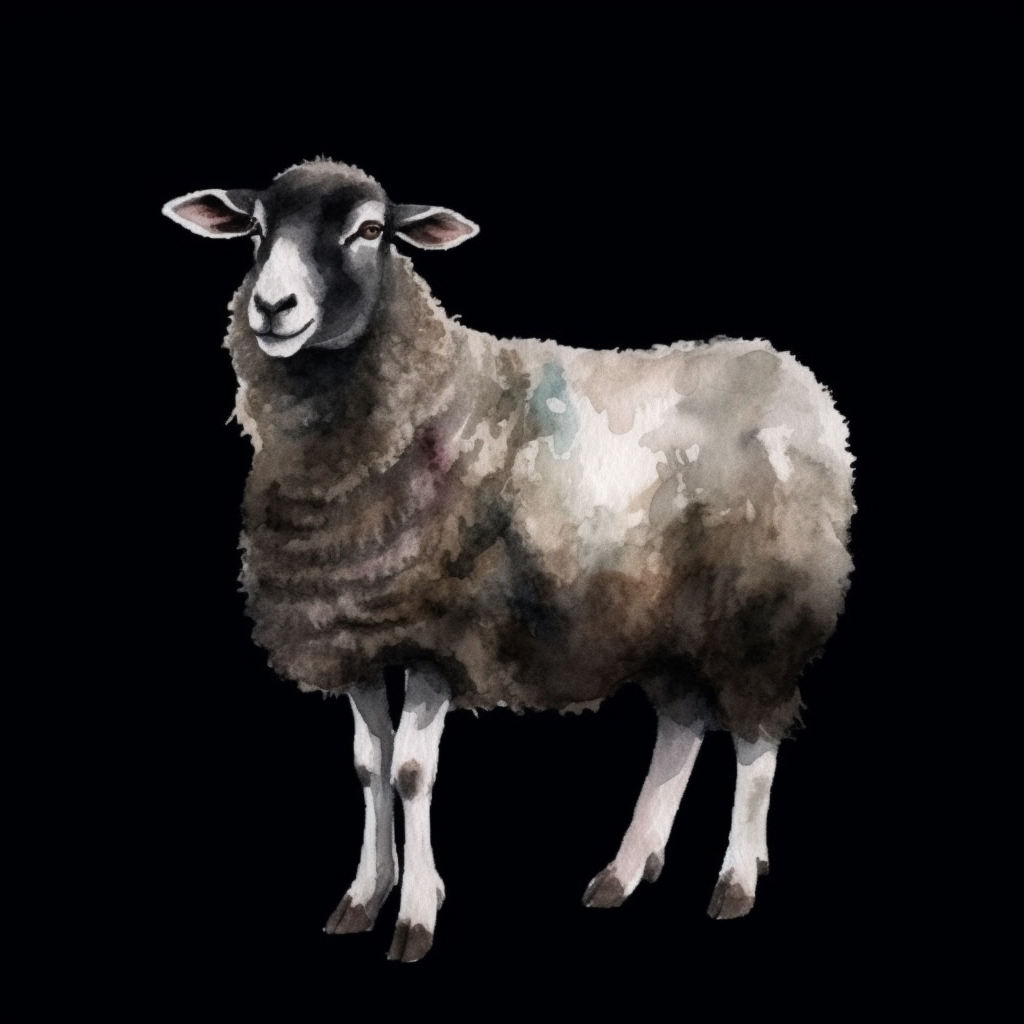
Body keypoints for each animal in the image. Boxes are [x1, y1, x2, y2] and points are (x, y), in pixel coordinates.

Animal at [163, 158, 855, 962]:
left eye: (369, 230)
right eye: (256, 229)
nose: (273, 307)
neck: (425, 401)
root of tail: (794, 377)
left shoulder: (439, 632)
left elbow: (410, 771)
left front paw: (415, 916)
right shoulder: (359, 632)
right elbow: (368, 766)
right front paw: (364, 897)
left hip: (761, 613)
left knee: (754, 742)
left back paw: (736, 881)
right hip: (663, 621)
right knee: (682, 729)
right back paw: (623, 872)